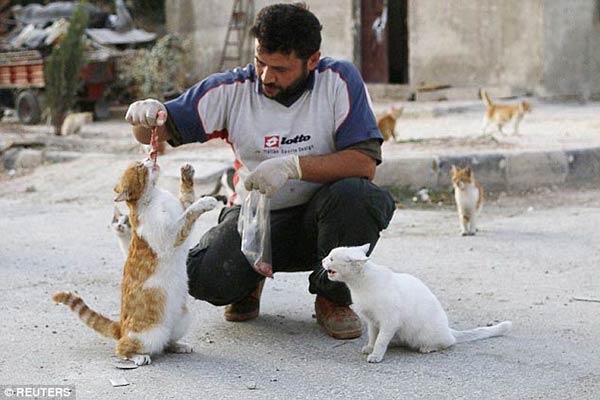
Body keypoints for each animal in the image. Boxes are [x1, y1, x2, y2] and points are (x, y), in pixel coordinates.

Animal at [50, 159, 217, 366]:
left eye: (142, 161)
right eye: (139, 166)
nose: (149, 159)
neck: (155, 196)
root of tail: (121, 327)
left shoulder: (180, 209)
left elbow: (187, 199)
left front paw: (186, 174)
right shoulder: (172, 235)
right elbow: (190, 213)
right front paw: (206, 201)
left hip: (182, 320)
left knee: (166, 343)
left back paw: (178, 345)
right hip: (150, 334)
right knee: (123, 348)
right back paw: (138, 357)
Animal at [324, 245, 510, 364]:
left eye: (331, 258)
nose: (322, 260)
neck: (360, 285)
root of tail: (448, 328)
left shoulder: (389, 321)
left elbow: (381, 340)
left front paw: (376, 355)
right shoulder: (373, 321)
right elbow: (373, 336)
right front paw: (370, 347)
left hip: (427, 334)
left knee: (449, 342)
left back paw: (428, 348)